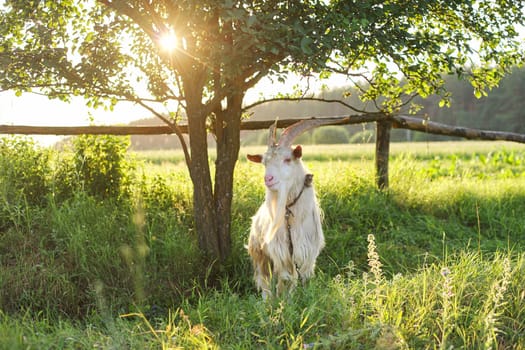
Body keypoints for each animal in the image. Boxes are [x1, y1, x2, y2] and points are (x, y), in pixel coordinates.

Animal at [245, 118, 328, 298]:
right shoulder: (280, 252)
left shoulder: (307, 252)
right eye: (264, 163)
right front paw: (285, 301)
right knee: (264, 280)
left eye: (288, 159)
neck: (291, 215)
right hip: (259, 253)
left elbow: (303, 278)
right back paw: (267, 300)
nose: (268, 179)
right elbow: (285, 280)